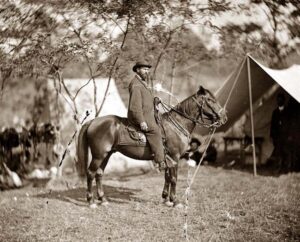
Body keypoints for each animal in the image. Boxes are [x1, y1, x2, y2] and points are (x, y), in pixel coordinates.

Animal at [76, 85, 226, 206]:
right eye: (210, 100)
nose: (224, 117)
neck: (176, 125)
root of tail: (93, 121)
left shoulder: (168, 159)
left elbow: (167, 177)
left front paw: (165, 199)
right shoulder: (174, 157)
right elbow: (174, 179)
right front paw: (175, 201)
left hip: (106, 155)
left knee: (99, 174)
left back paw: (103, 199)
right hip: (98, 155)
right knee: (91, 173)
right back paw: (91, 201)